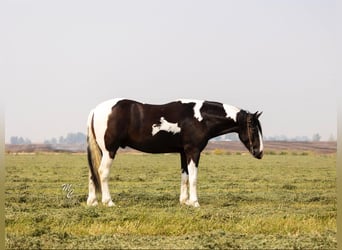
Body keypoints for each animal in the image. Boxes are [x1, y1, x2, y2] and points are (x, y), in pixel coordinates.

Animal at [87, 98, 264, 207]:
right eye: (253, 128)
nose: (260, 152)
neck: (200, 118)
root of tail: (95, 110)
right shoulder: (193, 151)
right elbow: (193, 178)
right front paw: (195, 202)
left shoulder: (183, 153)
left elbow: (184, 176)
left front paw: (185, 201)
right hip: (109, 150)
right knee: (102, 172)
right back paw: (108, 202)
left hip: (101, 151)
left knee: (92, 172)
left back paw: (92, 201)